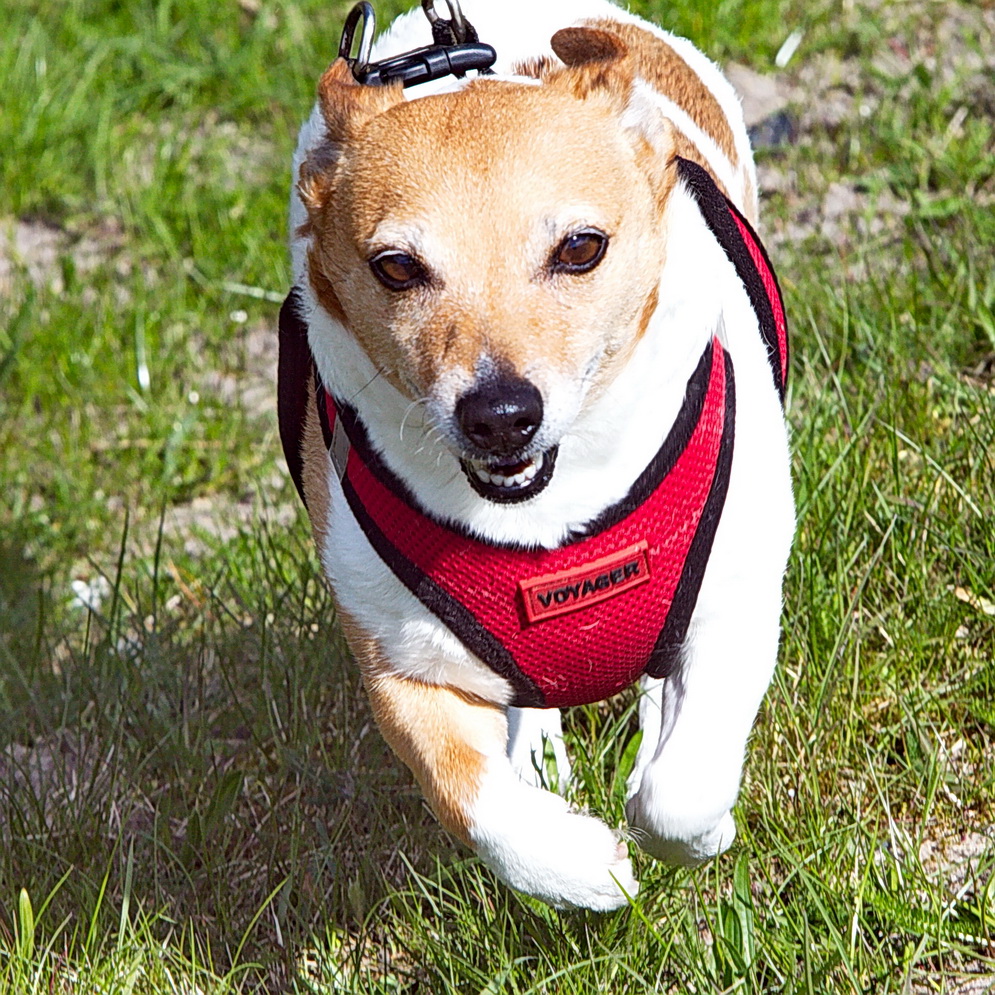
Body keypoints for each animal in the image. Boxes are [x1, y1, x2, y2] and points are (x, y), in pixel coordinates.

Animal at [280, 0, 792, 912]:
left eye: (580, 248)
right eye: (396, 267)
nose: (499, 415)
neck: (547, 520)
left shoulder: (733, 599)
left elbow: (681, 790)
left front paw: (692, 827)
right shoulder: (400, 664)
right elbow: (464, 793)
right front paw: (578, 865)